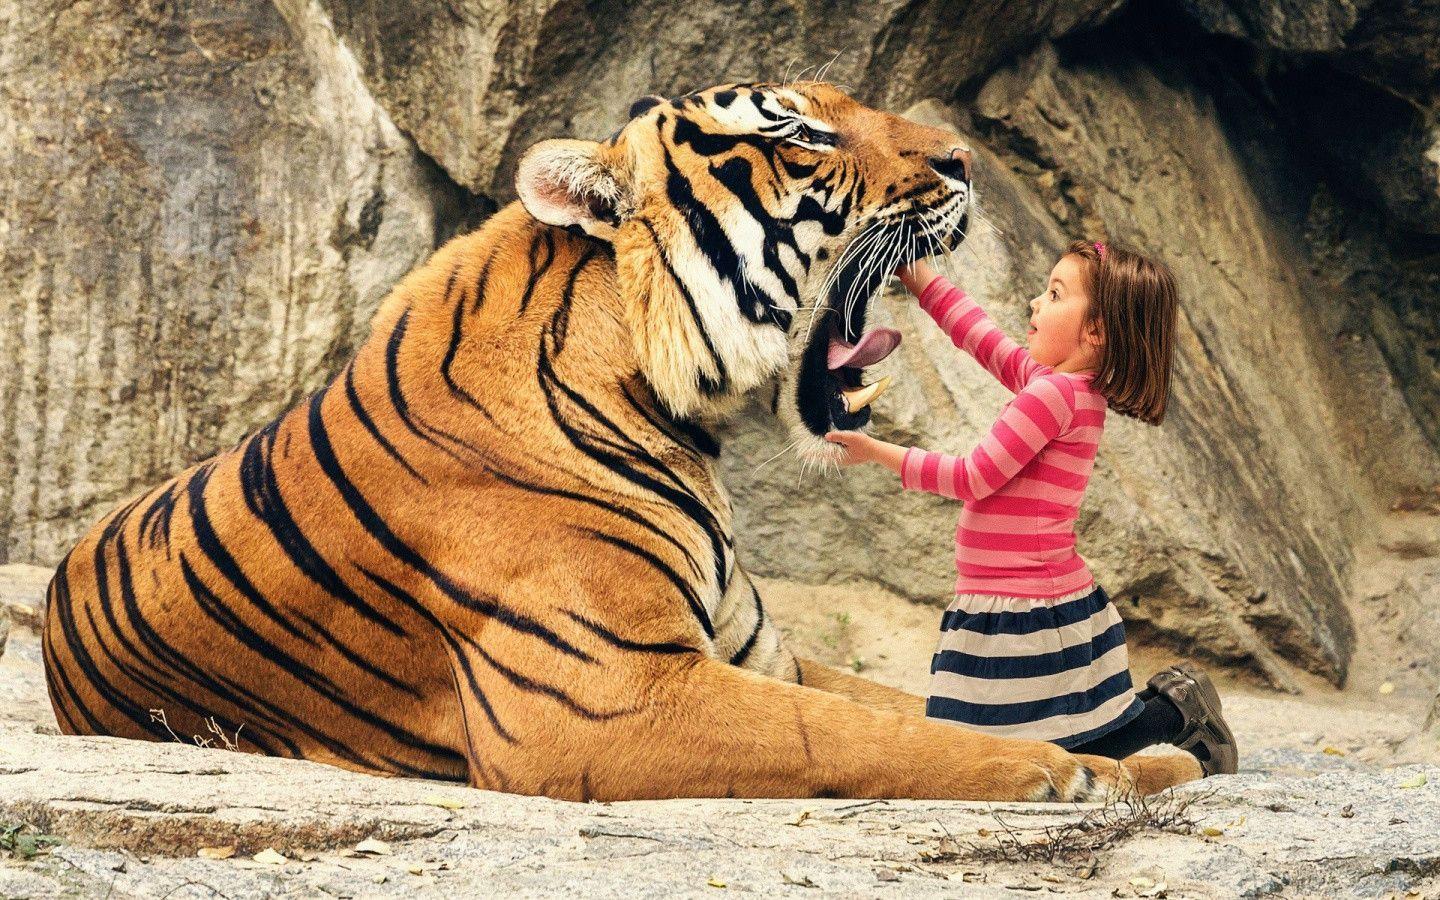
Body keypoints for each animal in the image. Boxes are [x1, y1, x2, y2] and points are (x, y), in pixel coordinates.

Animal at [42, 81, 1200, 802]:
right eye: (802, 136)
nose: (962, 161)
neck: (676, 414)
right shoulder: (609, 695)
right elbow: (880, 732)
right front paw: (1086, 771)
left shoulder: (758, 653)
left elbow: (918, 705)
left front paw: (1158, 758)